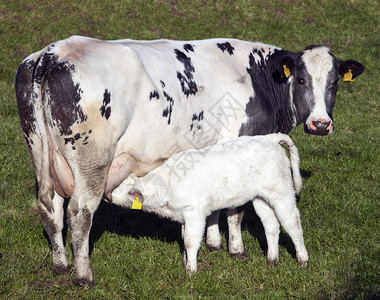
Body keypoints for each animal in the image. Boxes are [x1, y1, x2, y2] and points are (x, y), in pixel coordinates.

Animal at [111, 134, 308, 274]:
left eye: (117, 186)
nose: (107, 194)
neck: (168, 183)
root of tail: (271, 137)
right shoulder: (184, 215)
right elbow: (184, 237)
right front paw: (185, 262)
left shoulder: (194, 212)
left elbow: (190, 240)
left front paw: (191, 271)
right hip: (262, 198)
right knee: (271, 225)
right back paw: (272, 260)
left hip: (282, 194)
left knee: (293, 223)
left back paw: (302, 261)